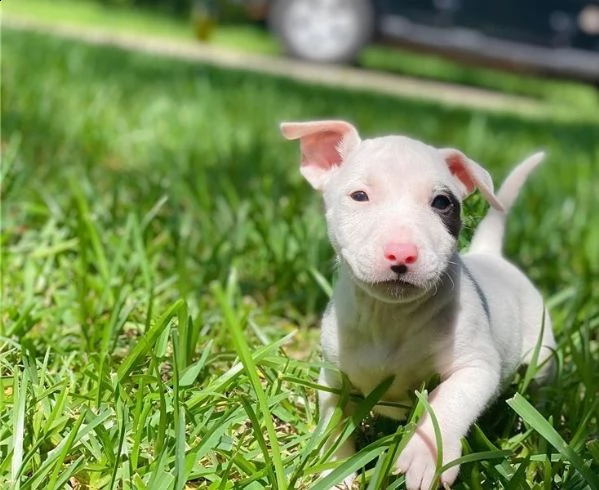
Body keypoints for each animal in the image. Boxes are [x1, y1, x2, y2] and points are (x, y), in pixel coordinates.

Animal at [282, 119, 556, 490]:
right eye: (359, 196)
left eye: (442, 202)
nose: (402, 253)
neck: (390, 316)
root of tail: (490, 254)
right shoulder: (333, 375)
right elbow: (333, 423)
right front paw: (334, 472)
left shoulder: (476, 367)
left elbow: (450, 403)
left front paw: (426, 455)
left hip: (541, 354)